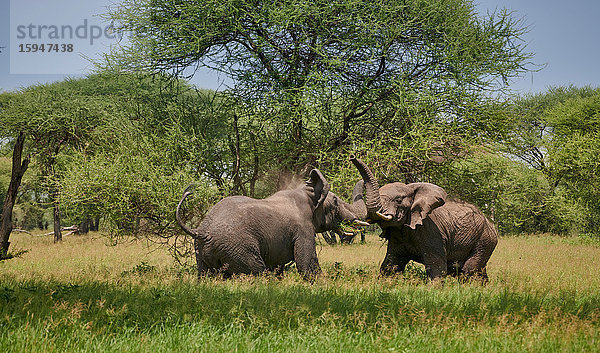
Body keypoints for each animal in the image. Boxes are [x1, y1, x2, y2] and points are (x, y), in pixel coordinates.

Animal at [176, 168, 368, 278]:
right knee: (259, 273)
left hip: (201, 253)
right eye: (335, 201)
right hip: (238, 248)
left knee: (205, 276)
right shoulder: (303, 229)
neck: (306, 193)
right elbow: (307, 265)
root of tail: (202, 232)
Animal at [350, 155, 500, 280]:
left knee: (469, 271)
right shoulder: (397, 237)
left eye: (398, 200)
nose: (352, 156)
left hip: (484, 240)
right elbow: (390, 266)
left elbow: (436, 268)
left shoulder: (431, 232)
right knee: (479, 272)